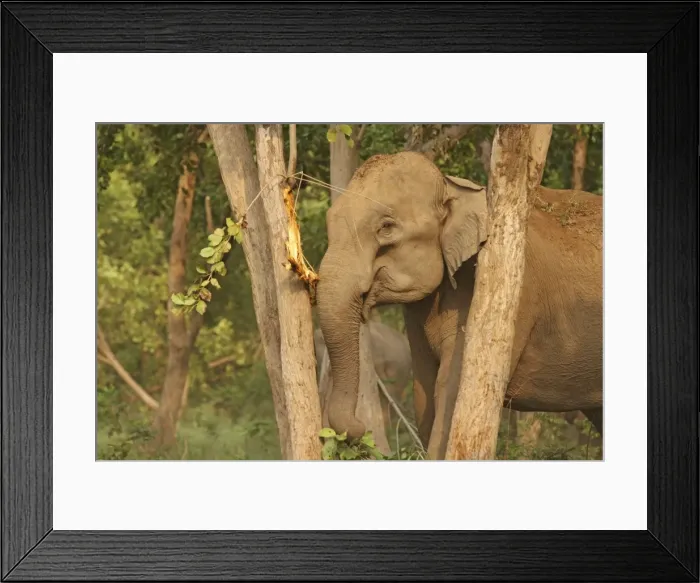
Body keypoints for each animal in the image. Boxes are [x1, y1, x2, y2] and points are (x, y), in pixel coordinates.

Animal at [316, 151, 602, 460]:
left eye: (386, 227)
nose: (358, 429)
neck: (453, 188)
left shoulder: (511, 291)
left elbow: (451, 386)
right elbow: (425, 387)